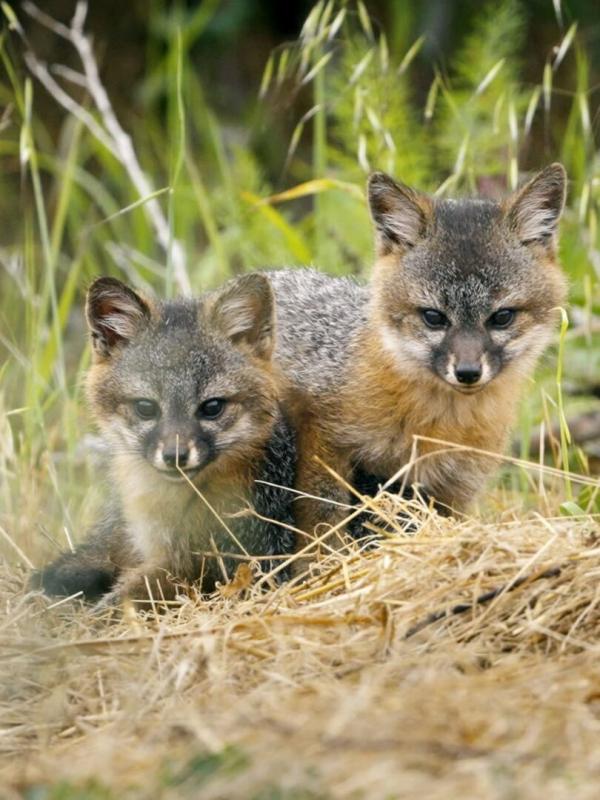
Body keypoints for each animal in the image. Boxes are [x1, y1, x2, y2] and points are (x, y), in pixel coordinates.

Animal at [269, 164, 568, 549]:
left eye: (502, 317)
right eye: (433, 317)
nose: (467, 372)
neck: (438, 424)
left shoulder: (456, 486)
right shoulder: (323, 435)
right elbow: (324, 517)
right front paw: (325, 560)